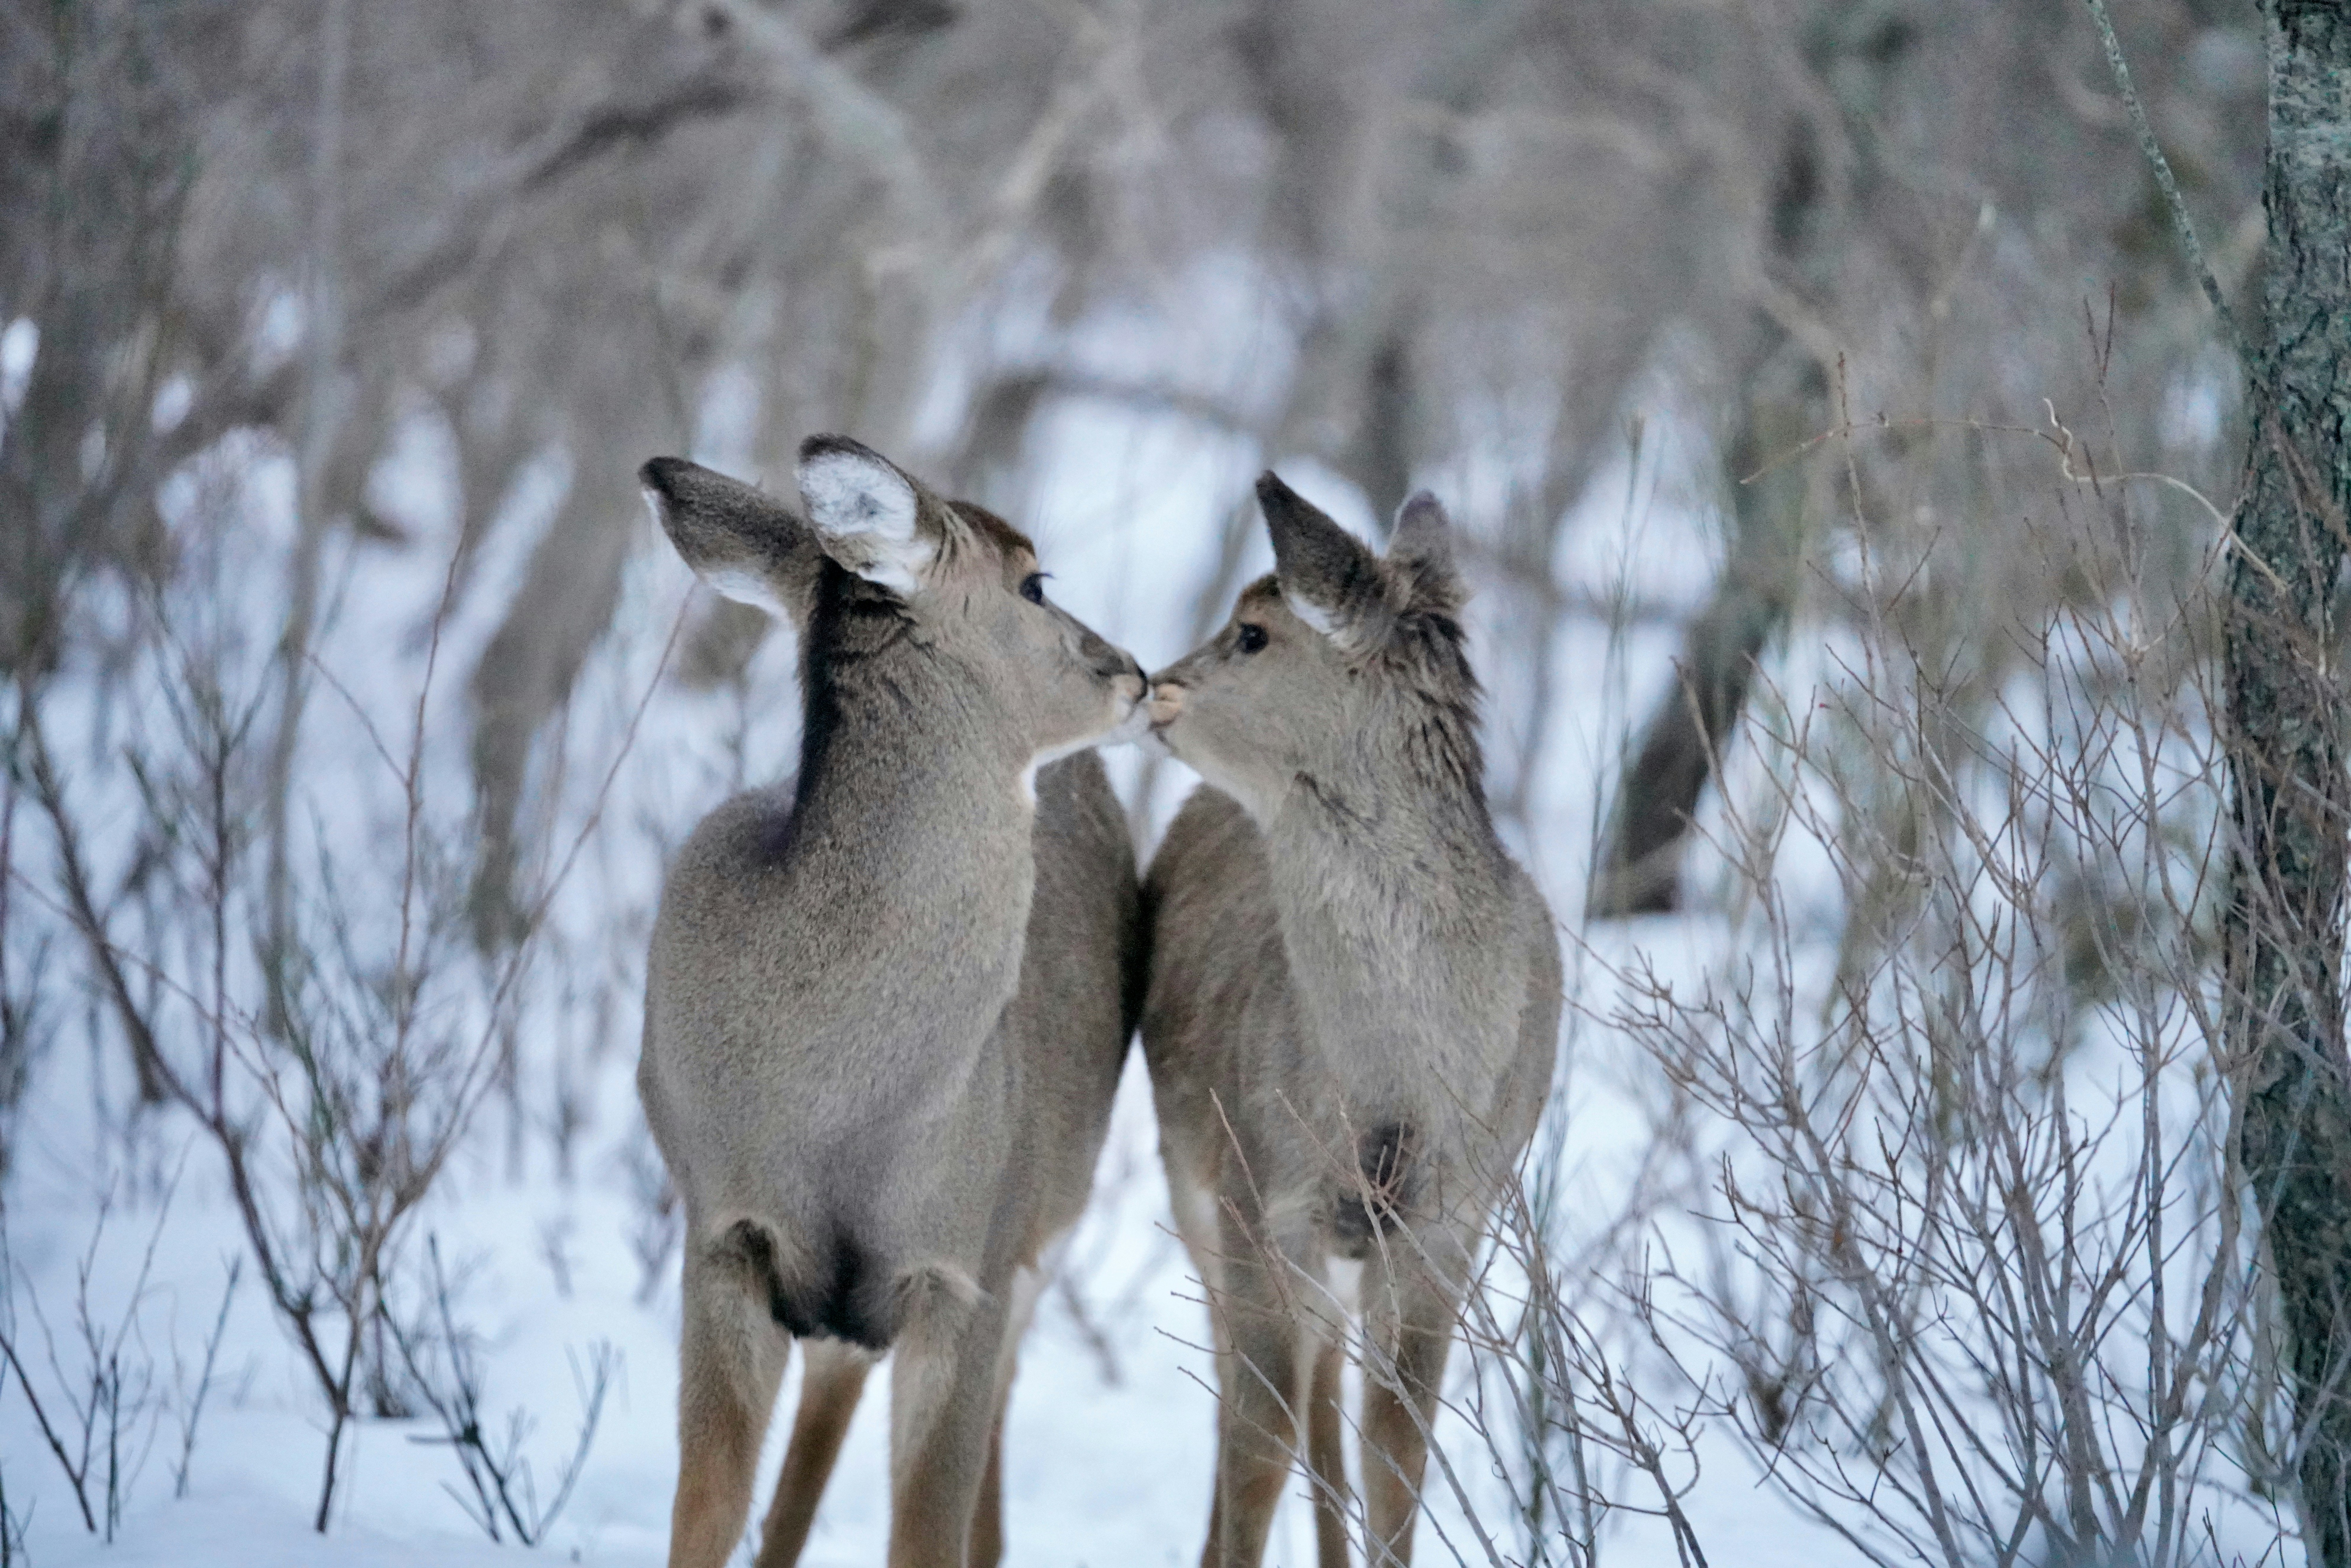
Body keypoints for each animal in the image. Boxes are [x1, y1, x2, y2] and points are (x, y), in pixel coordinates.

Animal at [636, 437, 1146, 1568]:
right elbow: (704, 1514)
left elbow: (929, 1535)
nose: (1137, 675)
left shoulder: (969, 1261)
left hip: (1045, 1226)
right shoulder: (721, 1227)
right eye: (1033, 580)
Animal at [1138, 474, 1561, 1567]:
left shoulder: (1452, 1217)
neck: (1391, 1081)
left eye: (1254, 632)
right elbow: (1259, 1444)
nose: (1158, 686)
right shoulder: (1259, 1191)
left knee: (1322, 1402)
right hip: (1191, 1172)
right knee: (1263, 1397)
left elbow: (1398, 1453)